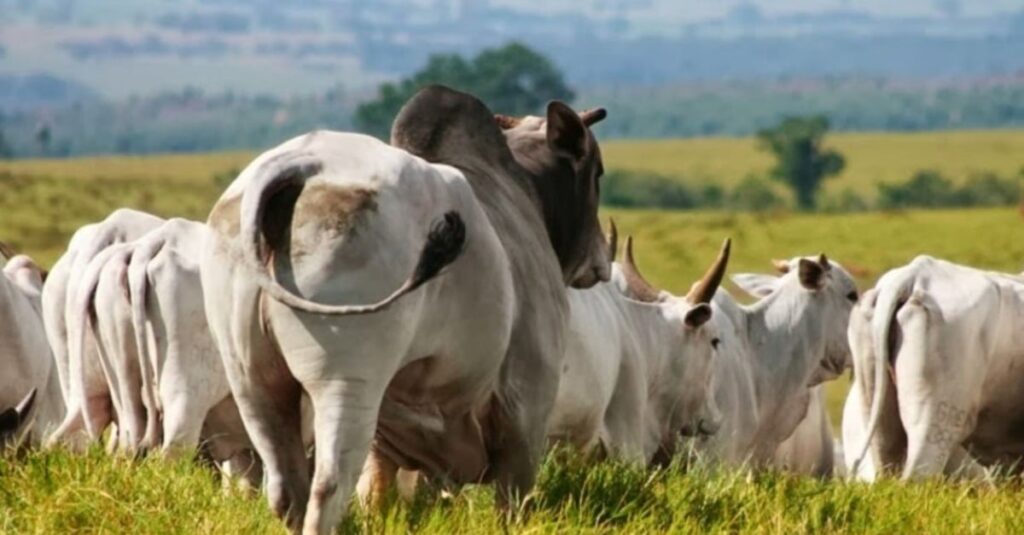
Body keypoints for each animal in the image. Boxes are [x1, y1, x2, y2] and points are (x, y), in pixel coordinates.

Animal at [201, 85, 607, 534]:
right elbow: (511, 499)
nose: (600, 259)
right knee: (328, 485)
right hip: (346, 379)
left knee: (286, 488)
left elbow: (377, 491)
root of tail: (301, 165)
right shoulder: (527, 404)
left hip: (251, 379)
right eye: (598, 173)